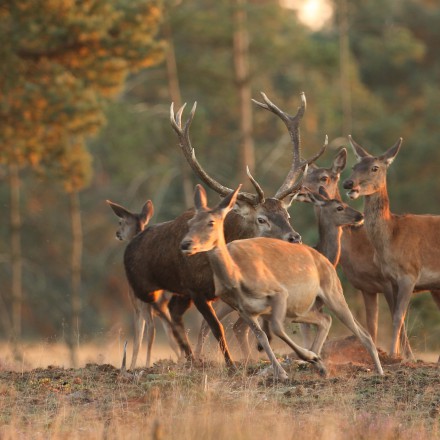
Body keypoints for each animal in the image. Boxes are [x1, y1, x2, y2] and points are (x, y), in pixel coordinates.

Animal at [106, 199, 182, 368]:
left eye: (121, 221)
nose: (117, 233)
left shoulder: (136, 306)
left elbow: (137, 339)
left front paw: (131, 366)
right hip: (165, 304)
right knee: (173, 331)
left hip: (147, 303)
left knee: (151, 329)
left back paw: (147, 365)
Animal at [180, 184, 384, 380]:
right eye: (339, 207)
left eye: (288, 215)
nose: (360, 216)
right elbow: (273, 334)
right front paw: (290, 366)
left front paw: (300, 363)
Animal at [344, 138, 440, 358]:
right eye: (354, 166)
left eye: (375, 167)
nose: (349, 183)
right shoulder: (390, 279)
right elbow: (398, 318)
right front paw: (399, 355)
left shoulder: (410, 274)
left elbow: (397, 317)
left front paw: (393, 355)